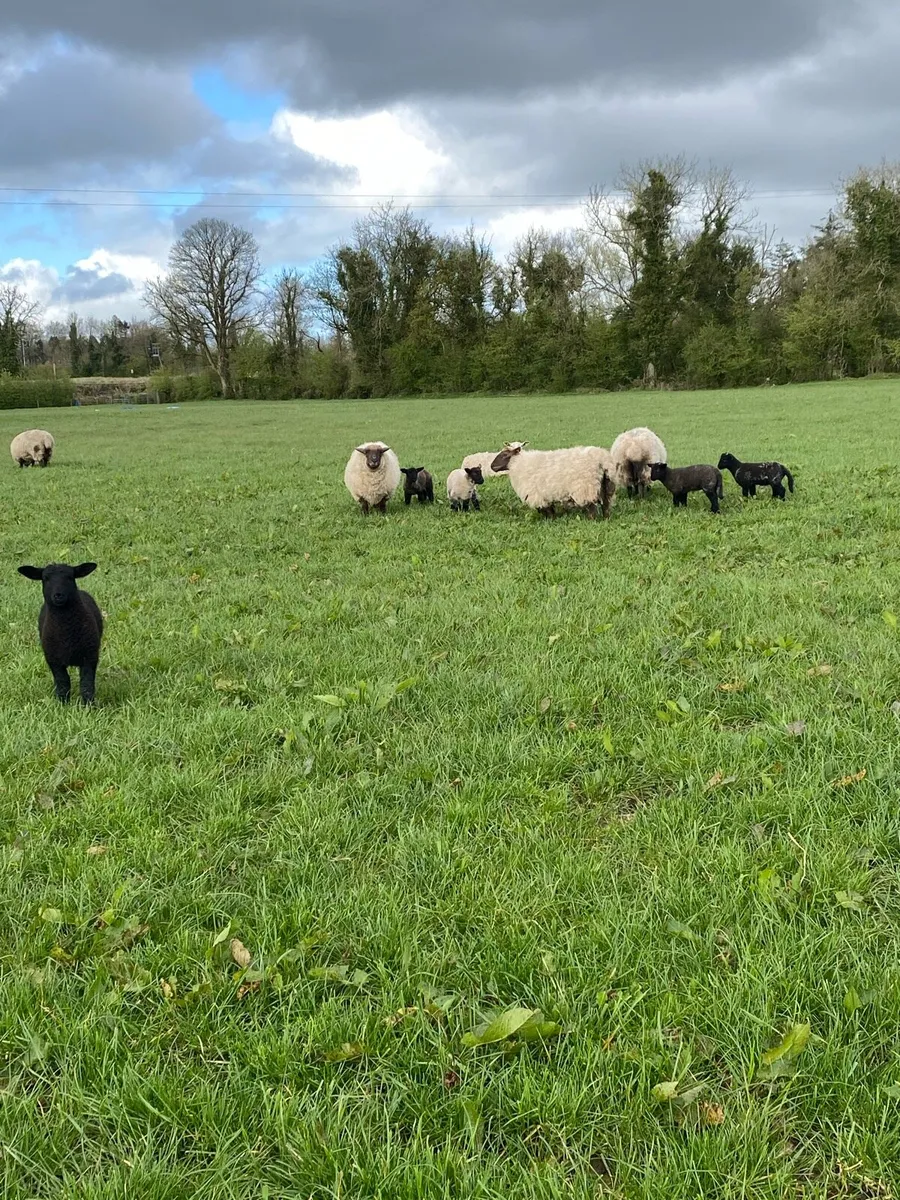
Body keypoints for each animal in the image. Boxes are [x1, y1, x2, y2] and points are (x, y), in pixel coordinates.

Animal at [17, 562, 103, 704]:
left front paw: (89, 705)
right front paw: (62, 703)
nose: (58, 595)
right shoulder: (53, 660)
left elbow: (86, 684)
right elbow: (63, 682)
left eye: (70, 577)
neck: (66, 632)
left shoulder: (90, 656)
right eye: (45, 578)